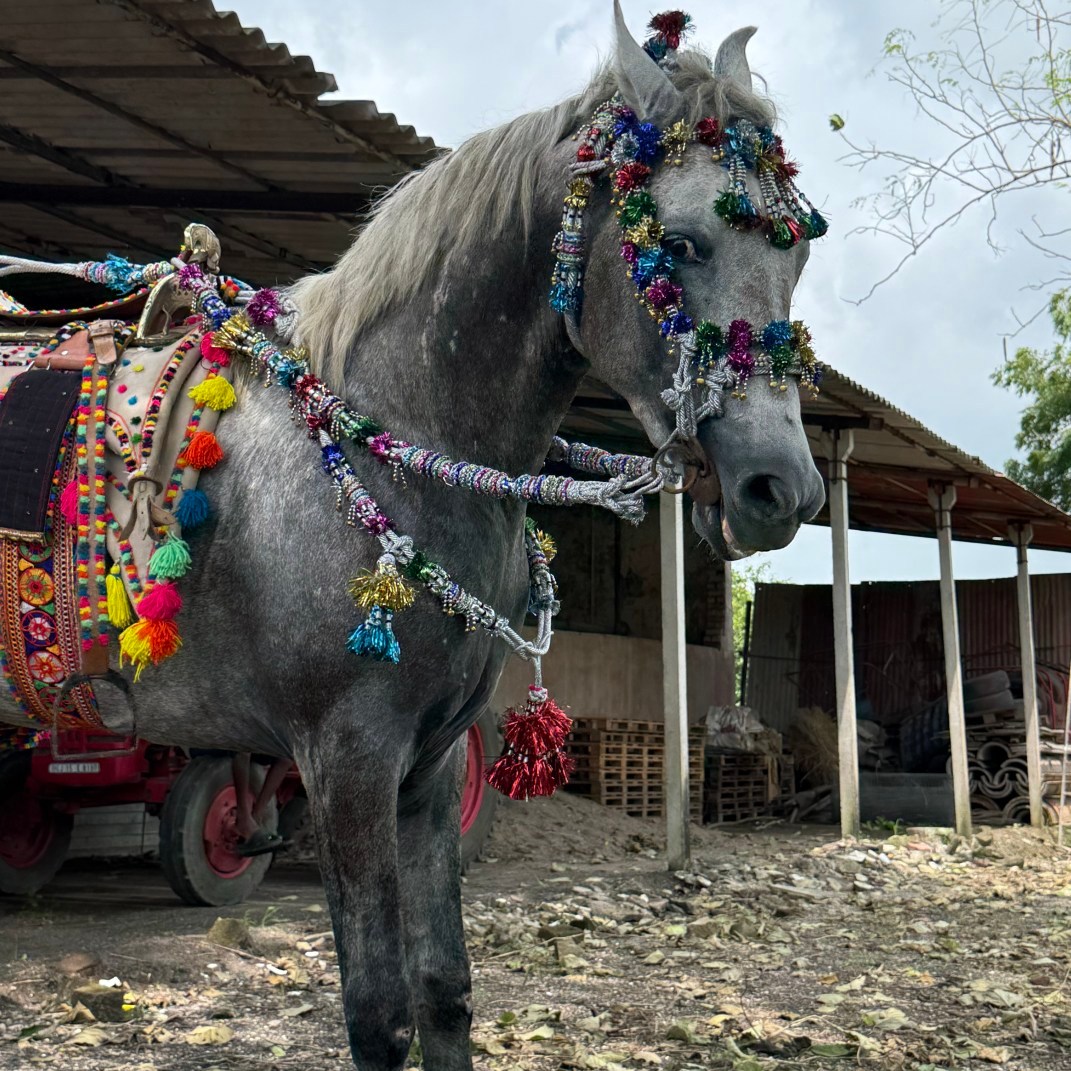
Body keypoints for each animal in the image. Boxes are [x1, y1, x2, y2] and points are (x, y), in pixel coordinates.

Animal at [3, 7, 824, 1069]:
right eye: (675, 243)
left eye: (795, 253)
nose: (780, 489)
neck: (389, 432)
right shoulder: (348, 760)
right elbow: (378, 1011)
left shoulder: (429, 770)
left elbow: (443, 991)